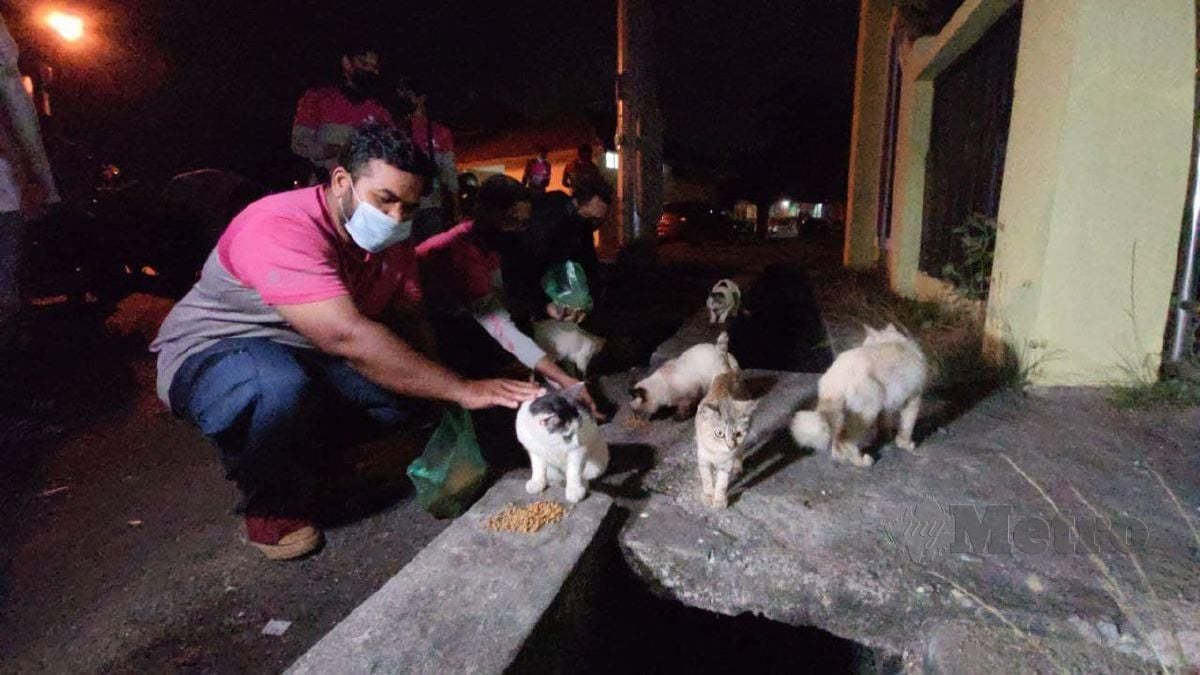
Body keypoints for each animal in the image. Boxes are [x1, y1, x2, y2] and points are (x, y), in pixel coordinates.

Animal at [696, 367, 758, 504]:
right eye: (720, 434)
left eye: (738, 434)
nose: (730, 446)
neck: (716, 451)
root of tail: (728, 373)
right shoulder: (703, 457)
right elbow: (706, 478)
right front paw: (708, 495)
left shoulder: (727, 461)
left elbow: (722, 482)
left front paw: (719, 500)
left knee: (740, 452)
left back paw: (738, 466)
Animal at [792, 324, 931, 466]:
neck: (892, 340)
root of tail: (836, 376)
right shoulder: (913, 399)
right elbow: (907, 426)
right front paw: (905, 444)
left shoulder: (885, 406)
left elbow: (884, 424)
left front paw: (886, 437)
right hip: (867, 412)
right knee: (847, 441)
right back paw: (862, 462)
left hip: (844, 414)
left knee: (837, 437)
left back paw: (840, 457)